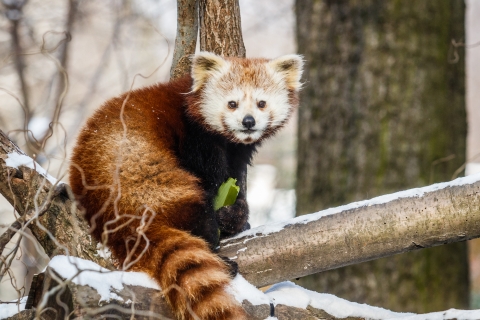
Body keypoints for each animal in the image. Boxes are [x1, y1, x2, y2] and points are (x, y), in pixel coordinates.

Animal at [69, 53, 302, 320]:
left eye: (261, 103)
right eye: (232, 104)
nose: (248, 121)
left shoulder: (235, 154)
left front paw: (235, 216)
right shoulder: (198, 142)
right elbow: (210, 181)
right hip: (144, 175)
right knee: (194, 209)